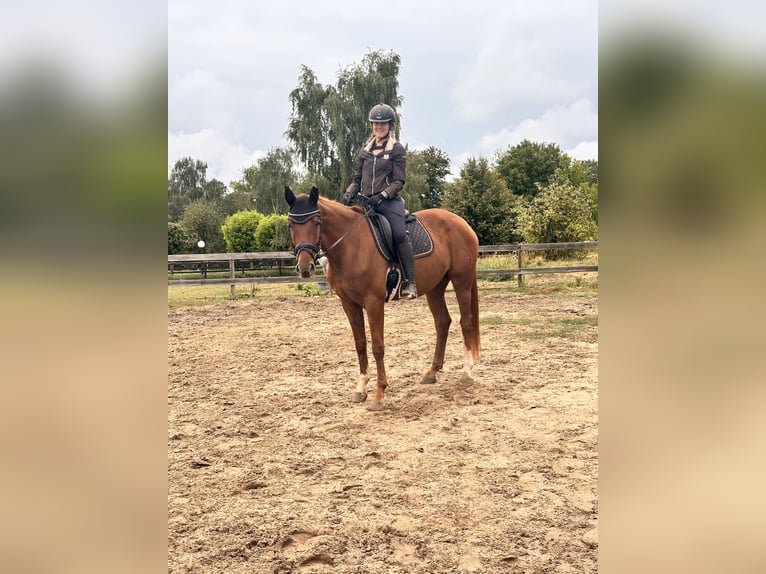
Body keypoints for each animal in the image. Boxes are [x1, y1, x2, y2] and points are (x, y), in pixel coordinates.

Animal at [284, 185, 480, 411]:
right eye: (291, 225)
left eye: (317, 222)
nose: (305, 268)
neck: (351, 246)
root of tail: (461, 222)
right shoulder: (349, 304)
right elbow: (360, 344)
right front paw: (360, 389)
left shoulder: (374, 302)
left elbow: (377, 347)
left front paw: (379, 395)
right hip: (435, 287)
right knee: (442, 322)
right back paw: (431, 372)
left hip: (461, 281)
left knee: (466, 322)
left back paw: (466, 373)